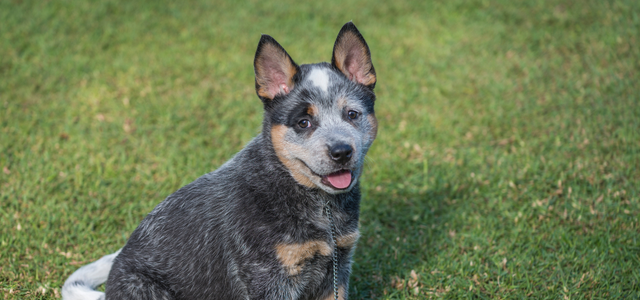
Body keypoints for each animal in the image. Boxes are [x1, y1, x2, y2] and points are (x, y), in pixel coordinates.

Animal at [62, 21, 378, 300]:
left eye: (352, 114)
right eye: (304, 122)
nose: (341, 151)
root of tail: (107, 292)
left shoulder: (337, 266)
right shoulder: (269, 278)